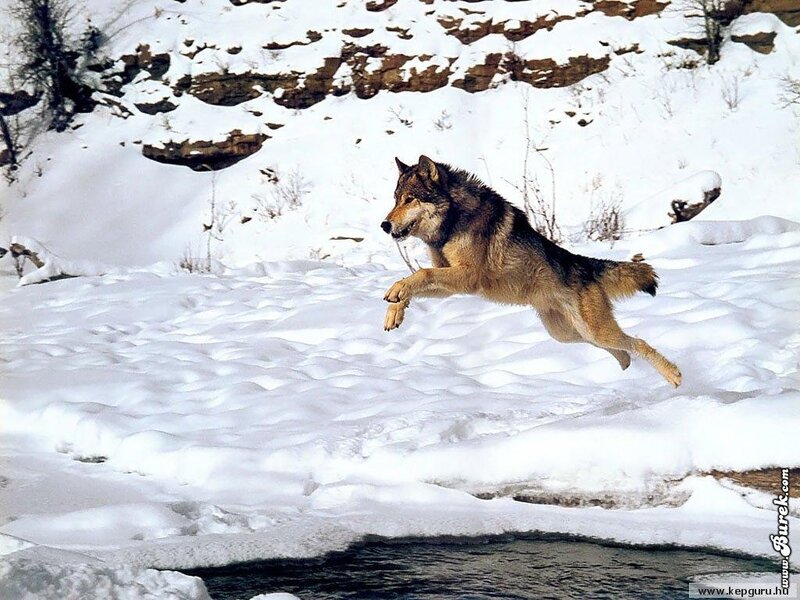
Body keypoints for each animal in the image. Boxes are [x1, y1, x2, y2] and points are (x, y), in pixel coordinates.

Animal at [380, 155, 682, 387]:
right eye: (395, 199)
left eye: (410, 199)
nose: (384, 225)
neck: (453, 220)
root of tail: (582, 263)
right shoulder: (448, 276)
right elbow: (413, 281)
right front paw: (395, 310)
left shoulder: (468, 277)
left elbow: (420, 275)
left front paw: (396, 293)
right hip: (569, 334)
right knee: (622, 349)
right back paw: (627, 367)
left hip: (592, 331)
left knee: (637, 342)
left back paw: (674, 375)